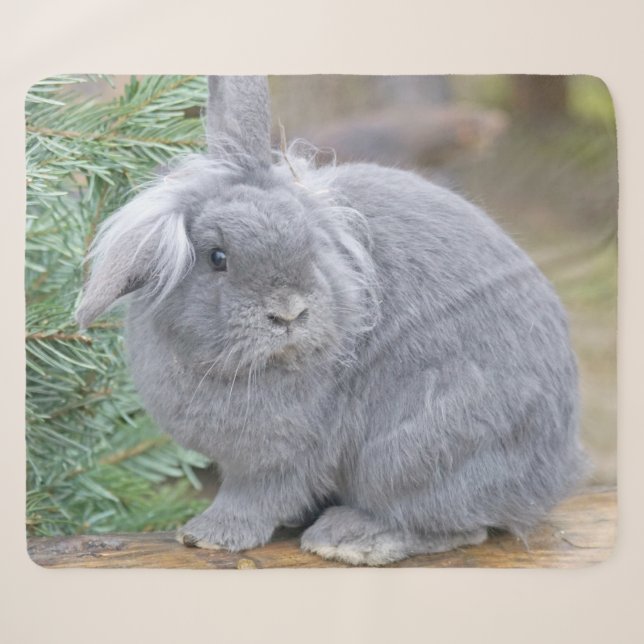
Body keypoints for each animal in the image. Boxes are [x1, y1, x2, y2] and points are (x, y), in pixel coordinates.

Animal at [75, 76, 588, 566]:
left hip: (415, 451)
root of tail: (553, 472)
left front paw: (208, 536)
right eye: (217, 257)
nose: (289, 312)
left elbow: (255, 498)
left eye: (310, 245)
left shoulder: (279, 459)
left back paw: (352, 539)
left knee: (457, 526)